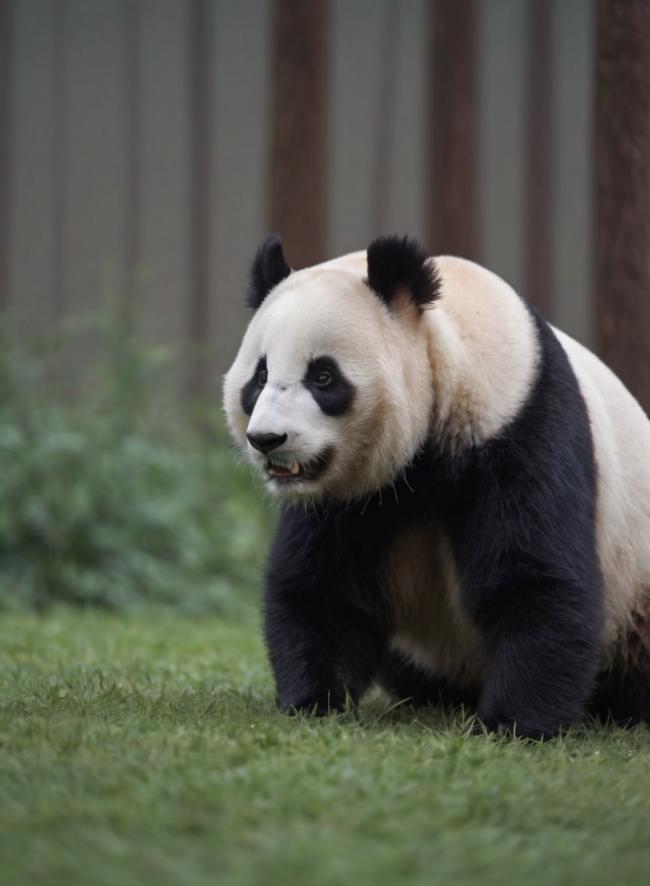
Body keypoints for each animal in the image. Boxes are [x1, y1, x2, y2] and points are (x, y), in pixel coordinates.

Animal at [223, 233, 650, 738]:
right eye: (260, 376)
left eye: (323, 376)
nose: (267, 439)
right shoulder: (348, 499)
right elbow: (322, 584)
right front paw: (314, 700)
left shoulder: (520, 418)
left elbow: (531, 572)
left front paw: (515, 722)